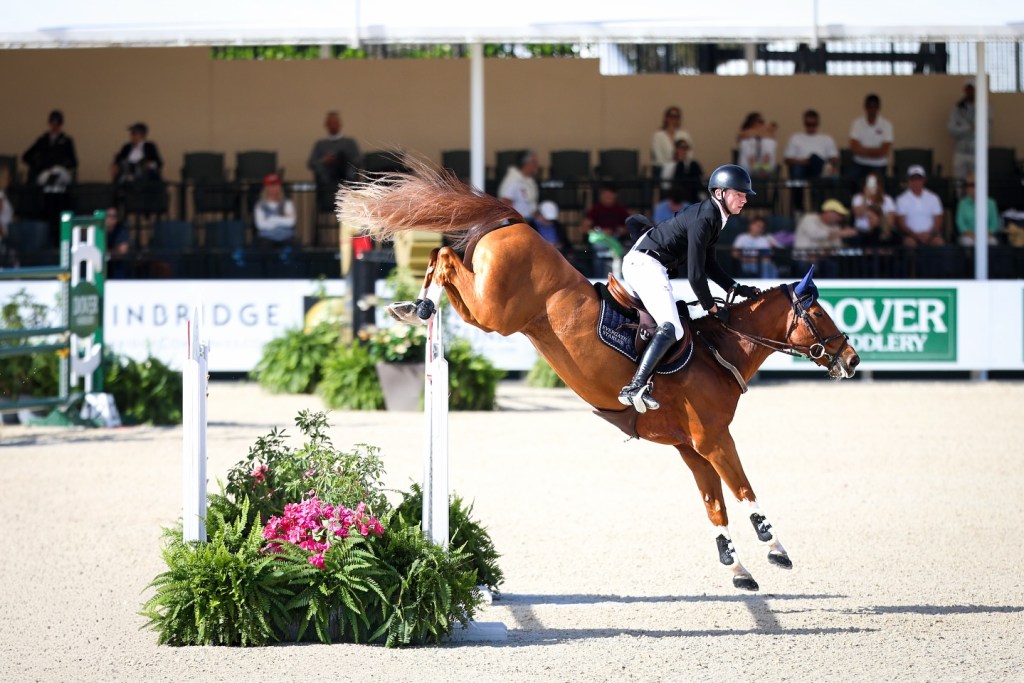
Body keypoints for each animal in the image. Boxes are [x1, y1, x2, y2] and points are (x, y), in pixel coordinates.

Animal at [337, 156, 861, 592]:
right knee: (444, 260)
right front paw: (776, 548)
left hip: (490, 310)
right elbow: (744, 489)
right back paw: (420, 305)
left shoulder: (691, 449)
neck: (721, 350)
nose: (852, 360)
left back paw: (412, 306)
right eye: (821, 316)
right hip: (496, 312)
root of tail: (517, 222)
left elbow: (715, 505)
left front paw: (737, 569)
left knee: (440, 259)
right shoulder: (714, 439)